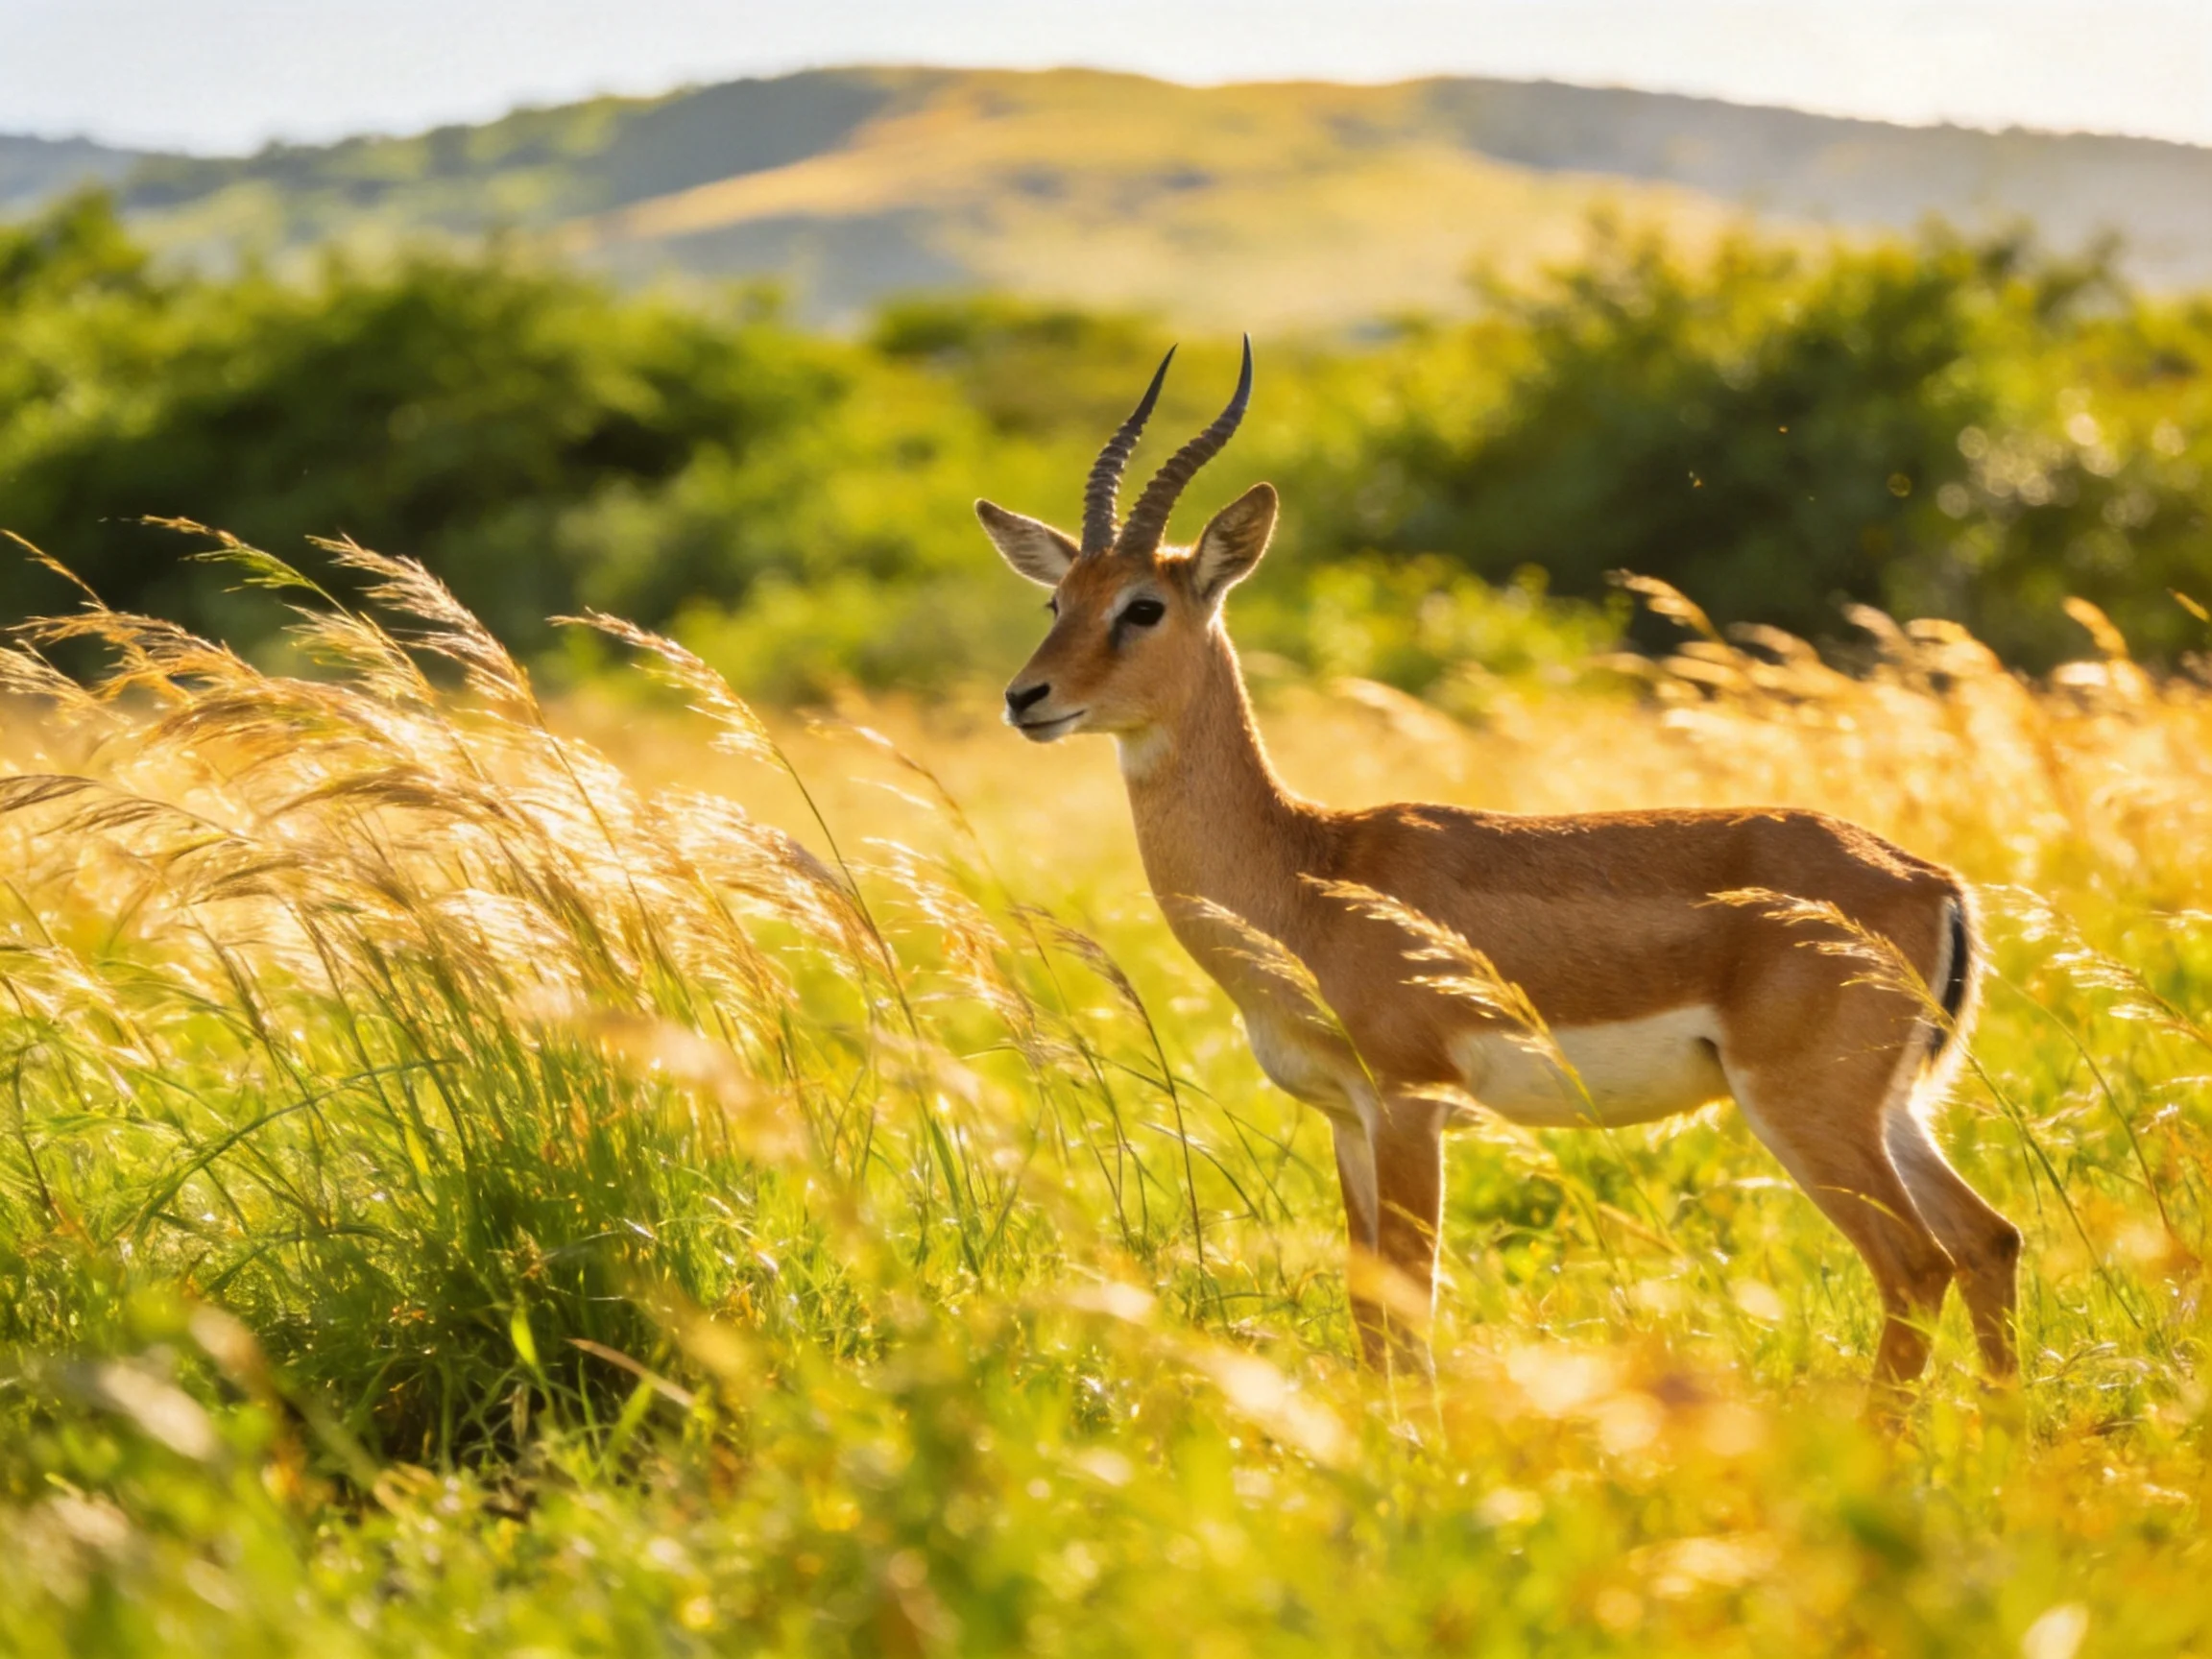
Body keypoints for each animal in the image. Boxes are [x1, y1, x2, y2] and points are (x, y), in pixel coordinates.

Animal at [976, 342, 2021, 1395]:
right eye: (1057, 600)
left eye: (1142, 607)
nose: (1027, 697)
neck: (1304, 872)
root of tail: (1933, 883)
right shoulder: (1346, 1119)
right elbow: (1369, 1311)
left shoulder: (1409, 1106)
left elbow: (1410, 1310)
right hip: (1894, 1110)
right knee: (1989, 1240)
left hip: (1807, 1108)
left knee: (1916, 1263)